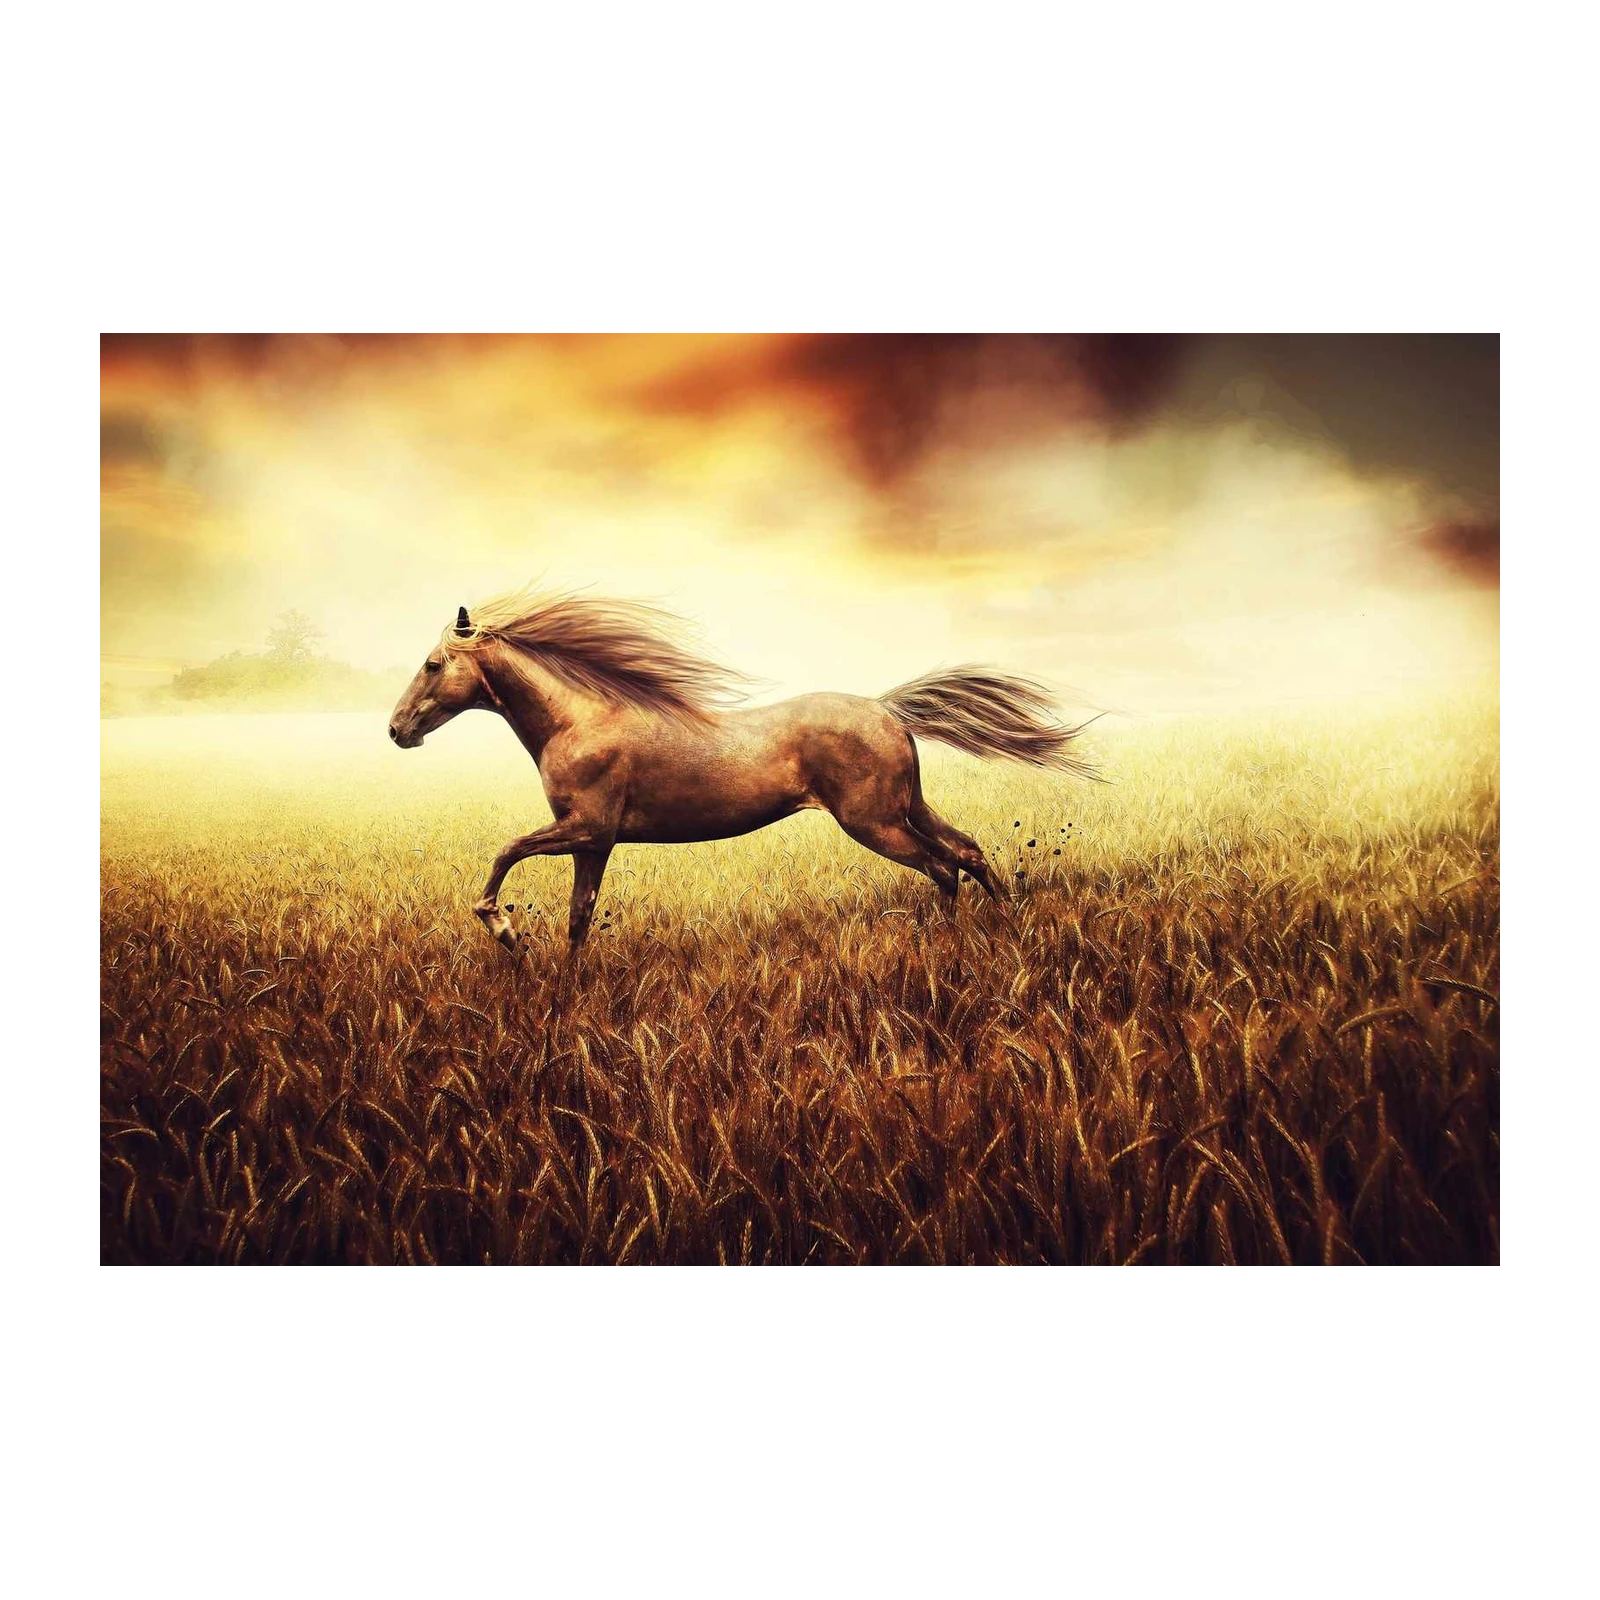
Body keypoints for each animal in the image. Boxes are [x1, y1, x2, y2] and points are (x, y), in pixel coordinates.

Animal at [388, 587, 1100, 961]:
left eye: (432, 663)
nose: (397, 730)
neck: (578, 720)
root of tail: (887, 709)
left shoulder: (583, 827)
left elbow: (505, 853)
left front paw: (504, 930)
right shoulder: (594, 841)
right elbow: (578, 918)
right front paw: (565, 987)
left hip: (873, 822)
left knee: (941, 866)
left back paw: (949, 946)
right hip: (906, 807)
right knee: (968, 851)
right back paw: (1005, 926)